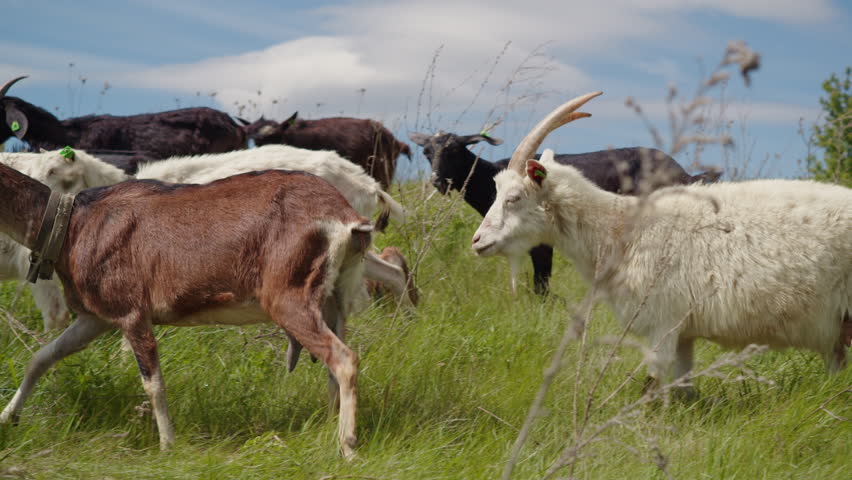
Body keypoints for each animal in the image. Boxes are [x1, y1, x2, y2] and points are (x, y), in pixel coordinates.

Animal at [0, 162, 369, 457]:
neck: (72, 228)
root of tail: (347, 218)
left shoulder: (132, 311)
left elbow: (153, 383)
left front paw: (167, 445)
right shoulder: (97, 317)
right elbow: (41, 358)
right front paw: (8, 417)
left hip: (288, 294)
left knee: (344, 359)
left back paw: (348, 447)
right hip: (334, 296)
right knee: (333, 365)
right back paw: (329, 430)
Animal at [409, 131, 720, 295]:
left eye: (454, 151)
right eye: (426, 153)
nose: (436, 181)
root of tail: (684, 173)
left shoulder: (541, 240)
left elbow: (541, 279)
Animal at [471, 92, 852, 389]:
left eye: (514, 198)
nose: (477, 241)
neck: (621, 231)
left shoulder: (663, 322)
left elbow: (652, 387)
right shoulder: (684, 333)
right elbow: (682, 387)